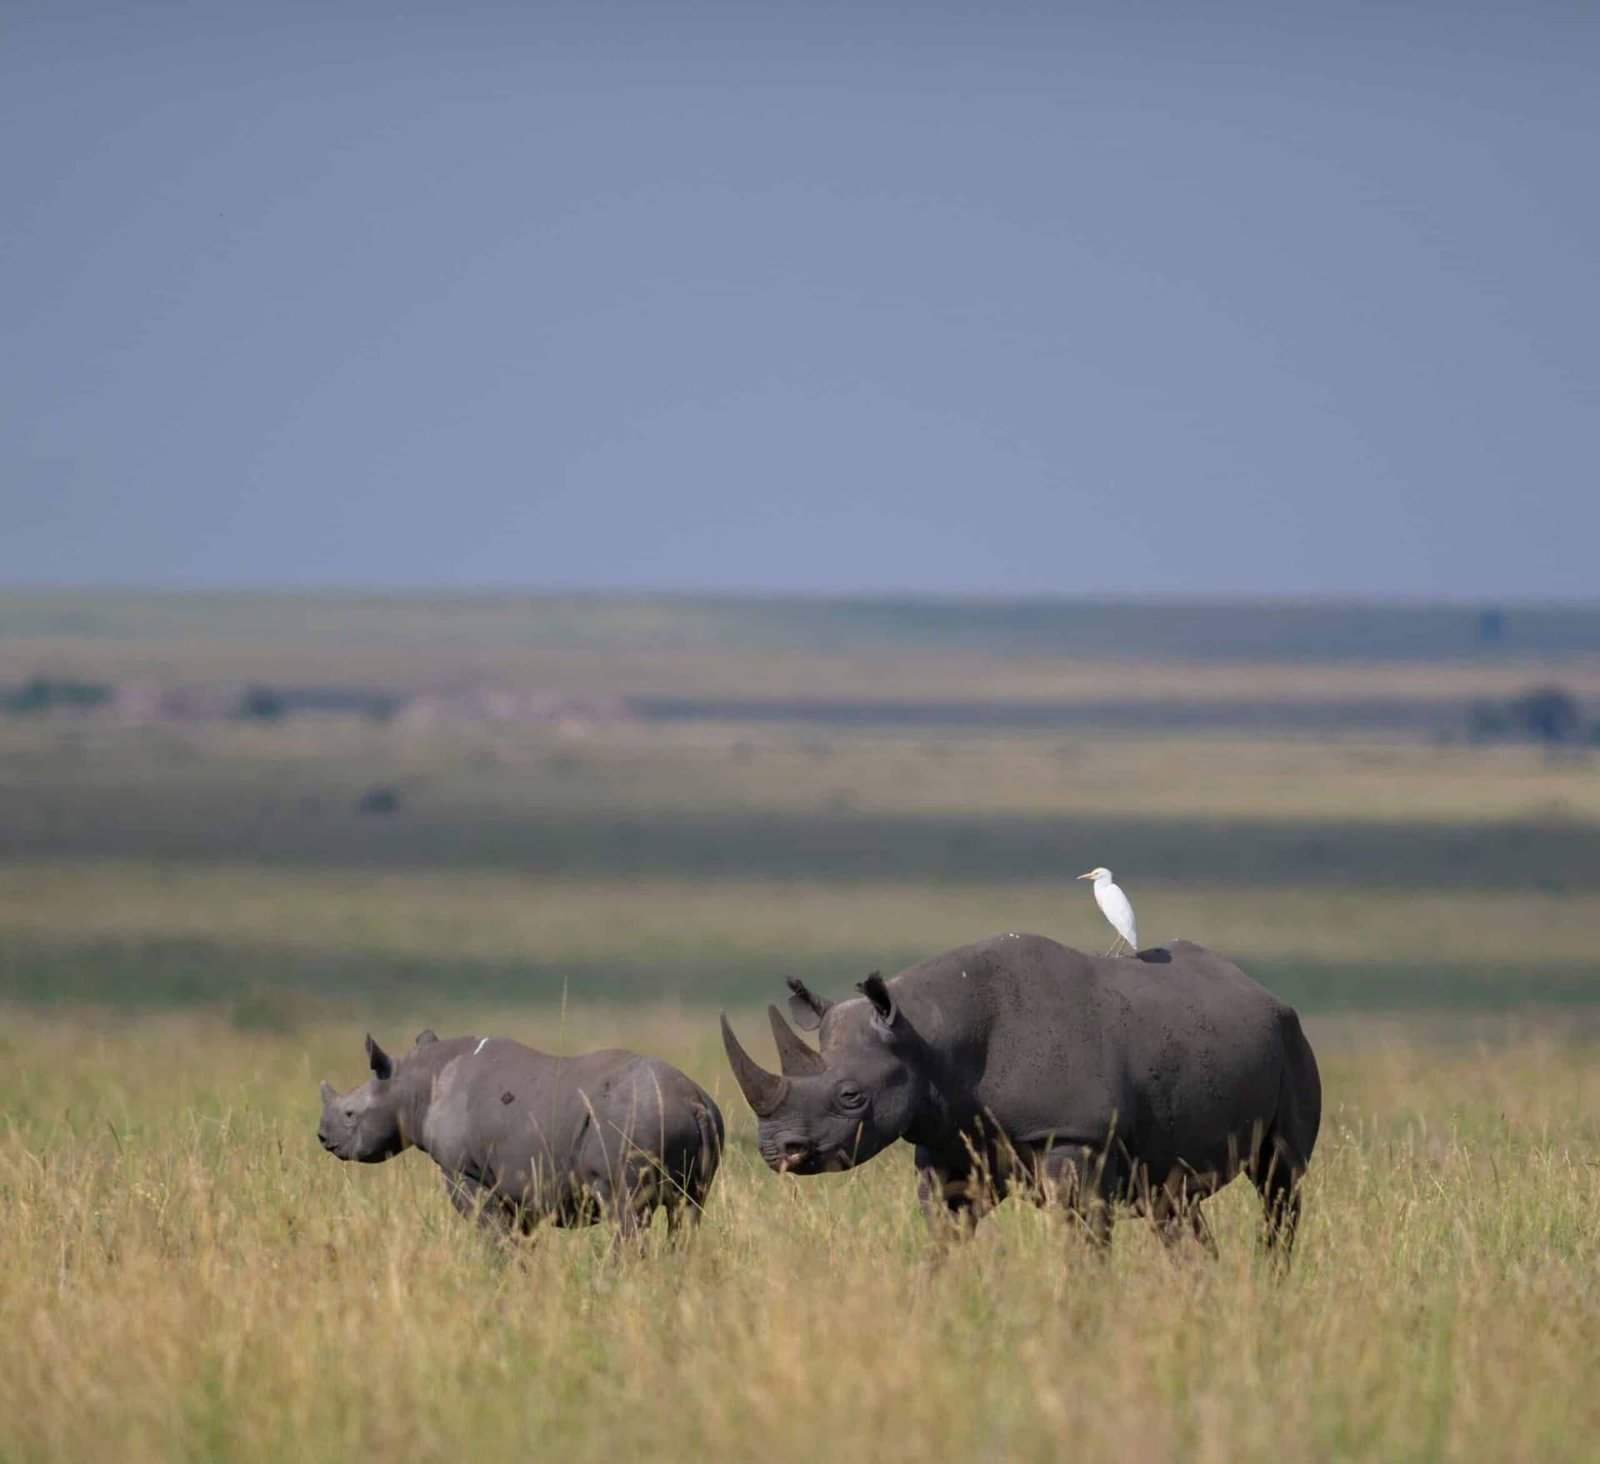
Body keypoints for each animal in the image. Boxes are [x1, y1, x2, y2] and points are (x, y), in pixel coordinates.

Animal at [318, 1030, 723, 1245]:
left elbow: (491, 1232)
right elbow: (517, 1237)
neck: (413, 1086)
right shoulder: (517, 1180)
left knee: (627, 1216)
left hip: (636, 1120)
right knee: (687, 1213)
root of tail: (694, 1100)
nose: (322, 1137)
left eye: (350, 1115)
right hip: (694, 1125)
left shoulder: (464, 1172)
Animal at [721, 934, 1320, 1256]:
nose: (776, 1150)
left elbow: (1079, 1232)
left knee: (1279, 1181)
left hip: (1292, 1038)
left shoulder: (1076, 1136)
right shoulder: (948, 1139)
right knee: (1171, 1201)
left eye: (851, 1096)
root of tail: (1261, 990)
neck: (927, 1034)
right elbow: (944, 1231)